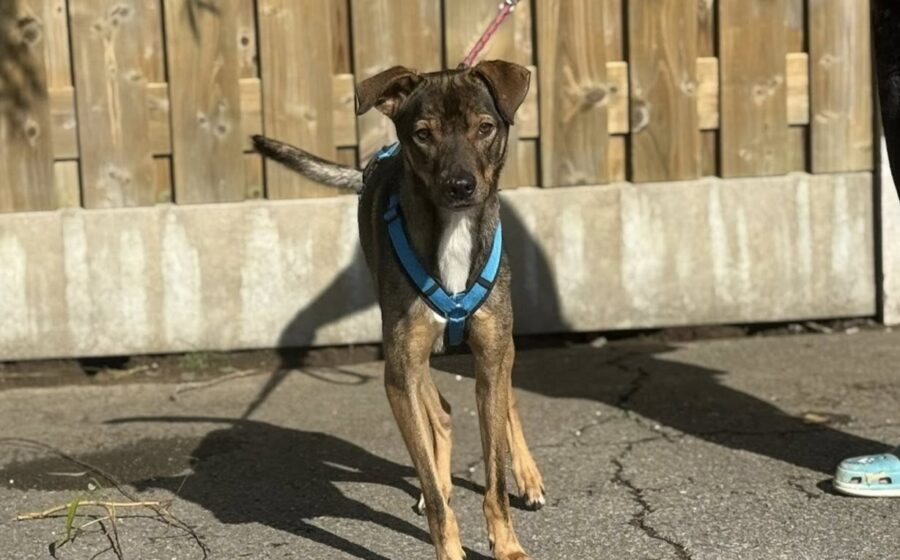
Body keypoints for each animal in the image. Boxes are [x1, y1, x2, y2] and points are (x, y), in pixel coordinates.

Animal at [253, 60, 544, 560]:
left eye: (485, 127)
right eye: (423, 134)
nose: (461, 186)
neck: (453, 231)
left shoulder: (490, 355)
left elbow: (494, 472)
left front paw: (506, 543)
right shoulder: (400, 372)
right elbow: (433, 486)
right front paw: (447, 537)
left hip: (500, 347)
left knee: (508, 403)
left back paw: (527, 474)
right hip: (406, 352)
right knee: (440, 413)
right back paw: (442, 480)